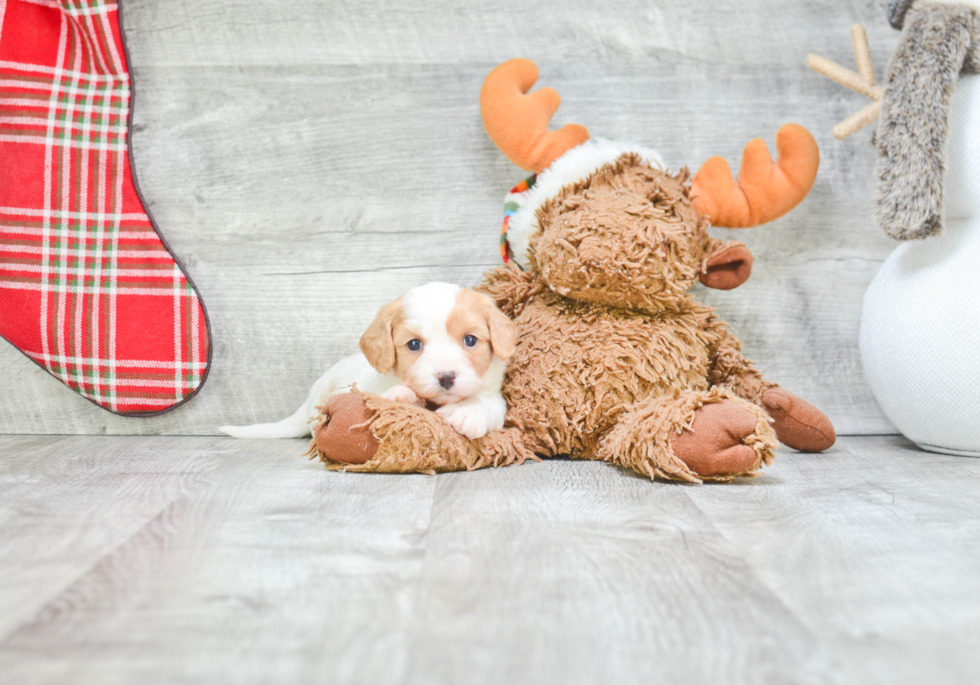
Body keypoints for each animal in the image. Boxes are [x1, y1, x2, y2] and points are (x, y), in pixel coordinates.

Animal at [218, 282, 516, 438]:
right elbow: (376, 396)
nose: (446, 377)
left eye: (470, 340)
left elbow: (488, 404)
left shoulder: (495, 399)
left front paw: (466, 411)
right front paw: (400, 396)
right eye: (414, 344)